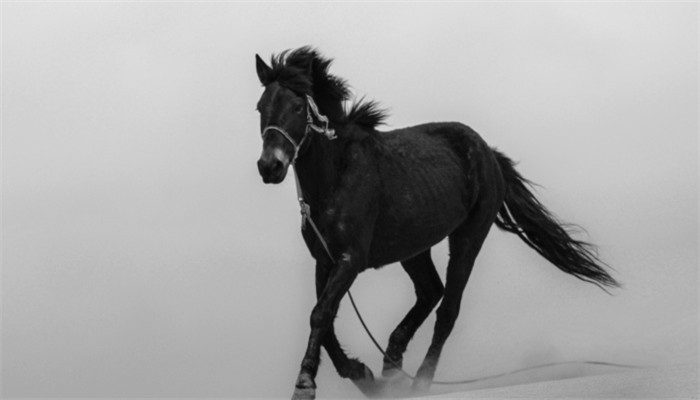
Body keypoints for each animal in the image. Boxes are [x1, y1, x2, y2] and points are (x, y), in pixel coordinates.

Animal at [253, 46, 619, 400]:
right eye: (260, 107)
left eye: (298, 107)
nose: (270, 166)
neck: (337, 175)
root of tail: (489, 153)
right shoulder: (324, 260)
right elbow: (323, 319)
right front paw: (362, 375)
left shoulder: (350, 260)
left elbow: (320, 314)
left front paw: (305, 384)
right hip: (414, 246)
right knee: (430, 291)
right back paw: (391, 368)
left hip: (468, 238)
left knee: (447, 310)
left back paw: (419, 382)